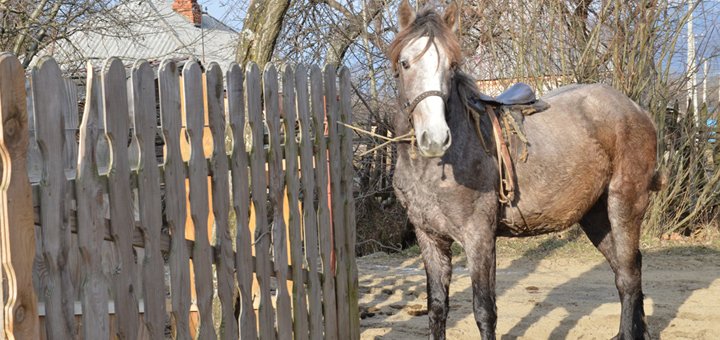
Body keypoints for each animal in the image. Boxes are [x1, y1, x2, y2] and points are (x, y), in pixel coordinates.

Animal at [390, 1, 660, 338]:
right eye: (405, 63)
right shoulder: (429, 237)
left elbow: (484, 310)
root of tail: (637, 110)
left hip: (624, 205)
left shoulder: (479, 236)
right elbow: (437, 308)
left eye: (451, 66)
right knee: (629, 270)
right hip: (596, 216)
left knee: (628, 276)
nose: (435, 138)